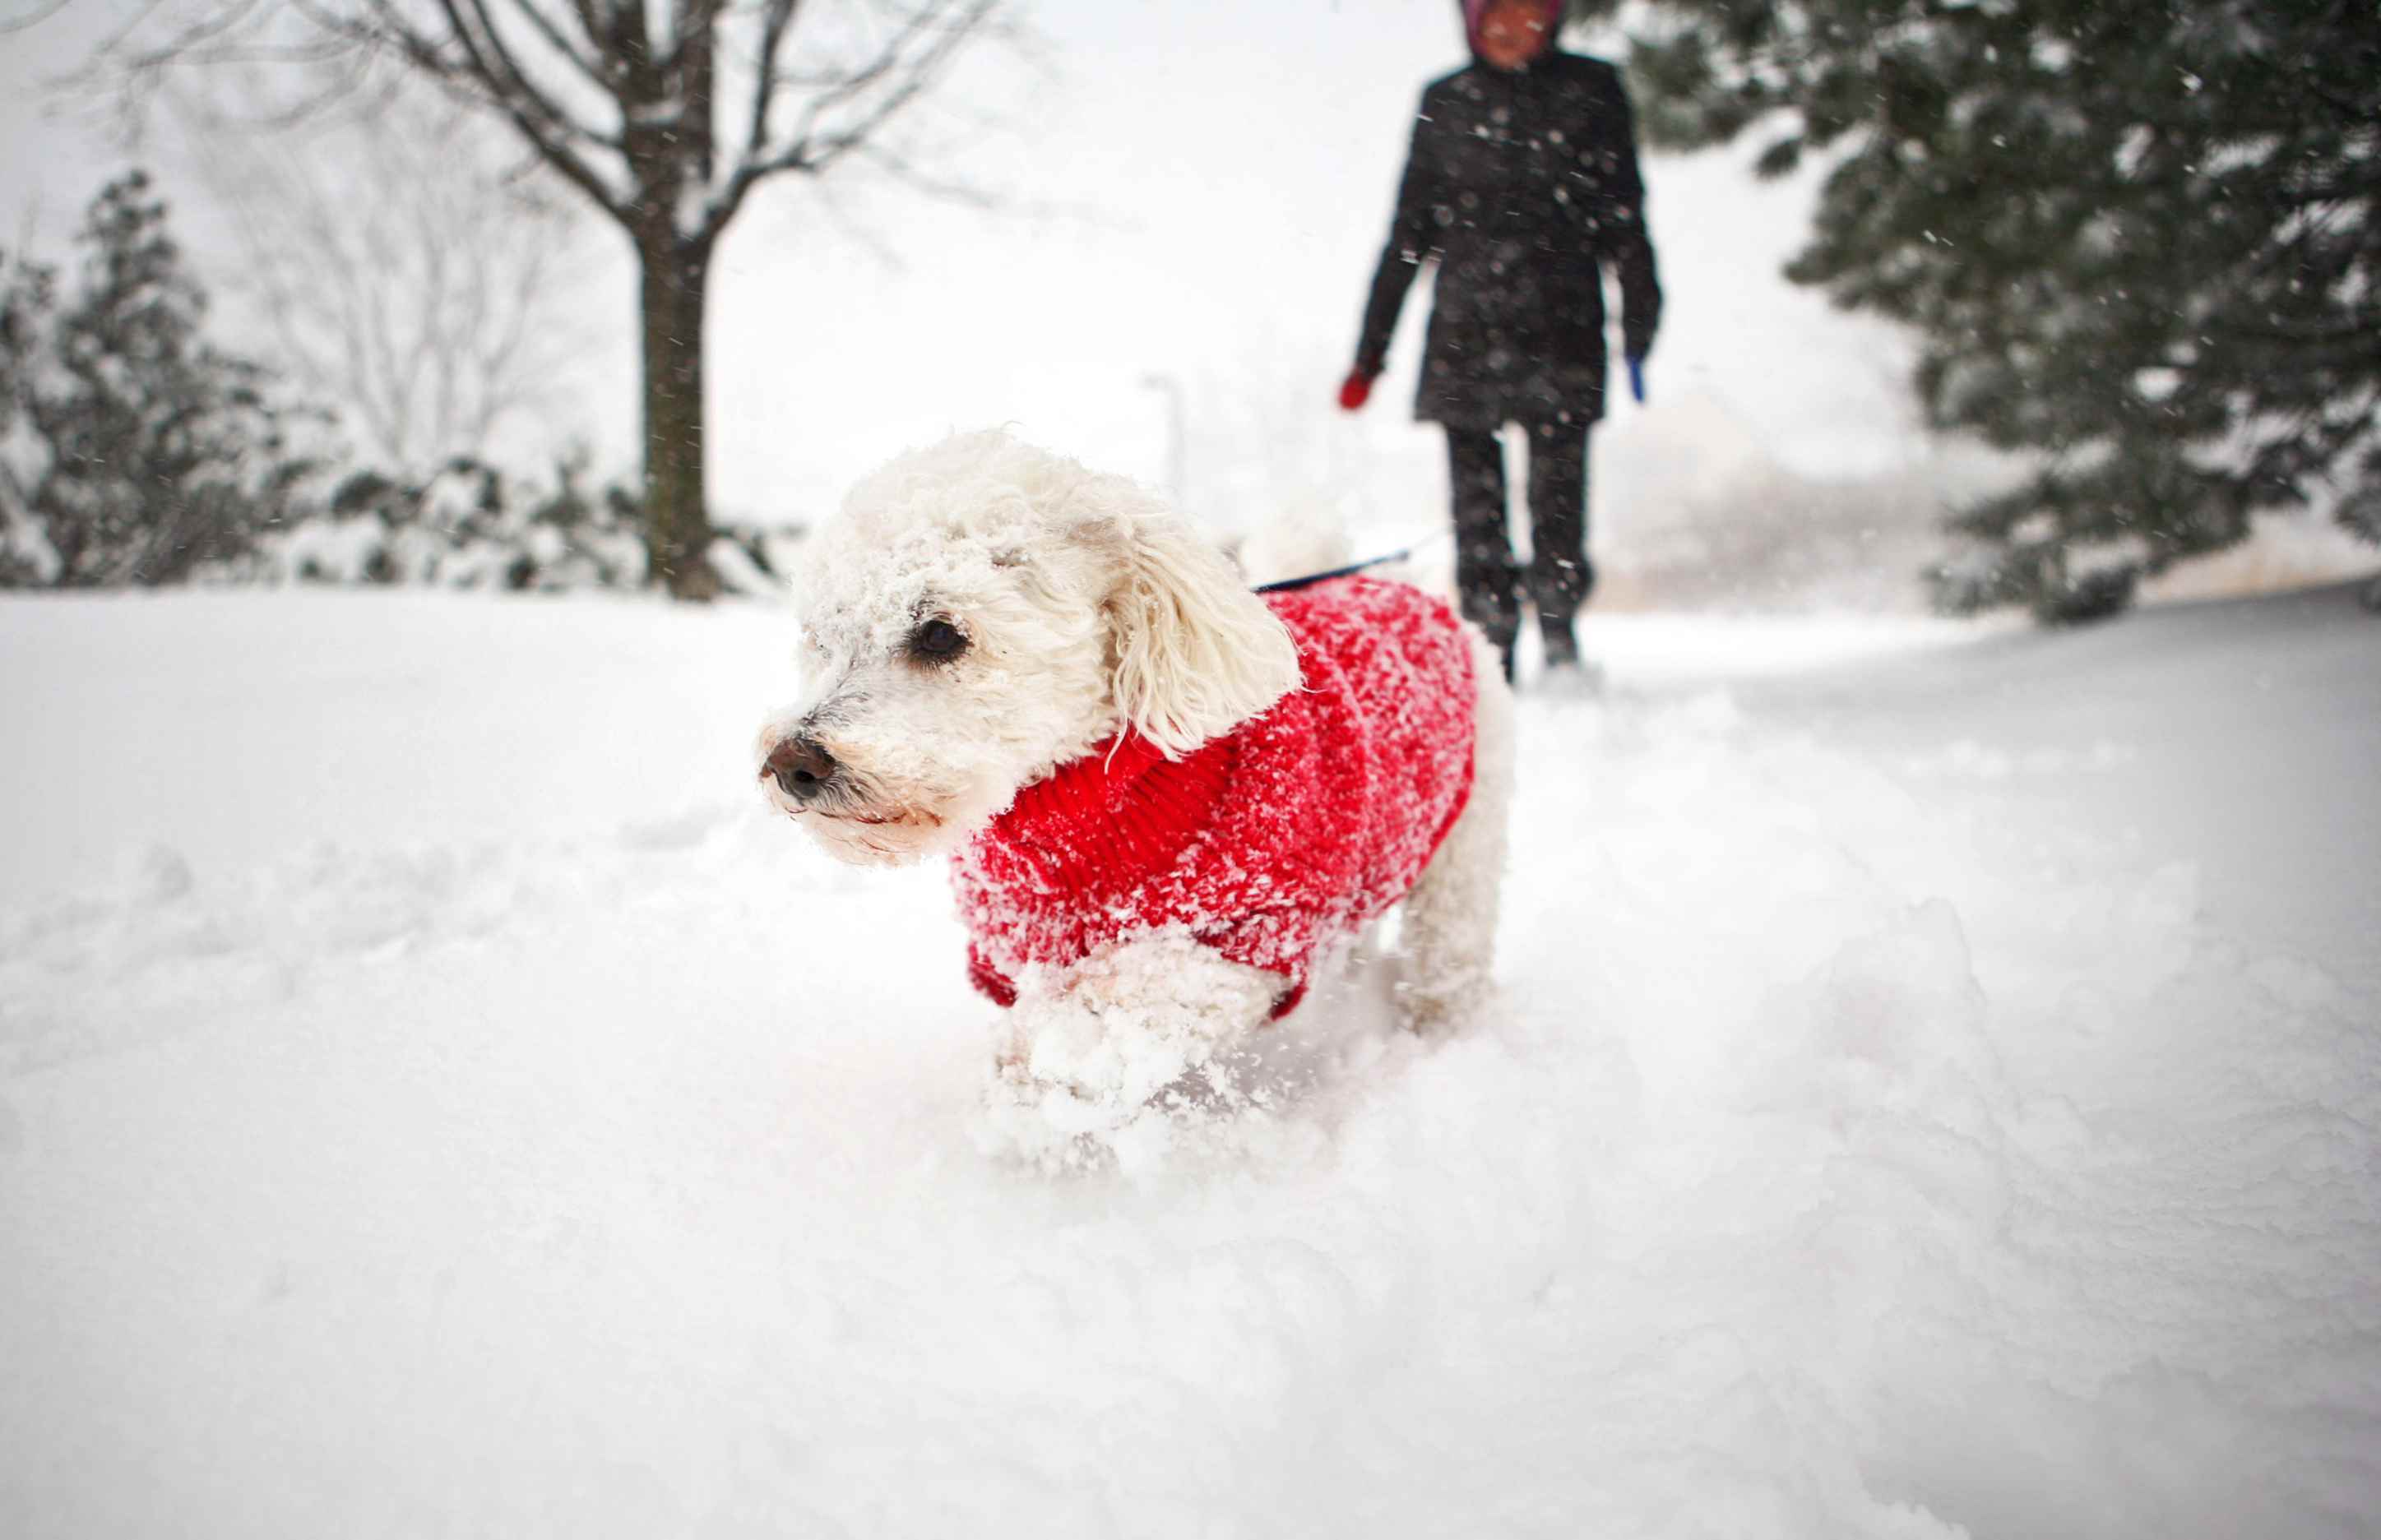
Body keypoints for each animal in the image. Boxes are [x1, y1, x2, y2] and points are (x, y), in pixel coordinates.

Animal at [752, 430, 1514, 1156]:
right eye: (820, 637)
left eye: (941, 634)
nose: (792, 764)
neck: (1080, 812)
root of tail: (1394, 583)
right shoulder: (1010, 956)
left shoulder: (1250, 932)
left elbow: (1110, 1007)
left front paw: (1039, 1090)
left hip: (1461, 859)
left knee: (1448, 955)